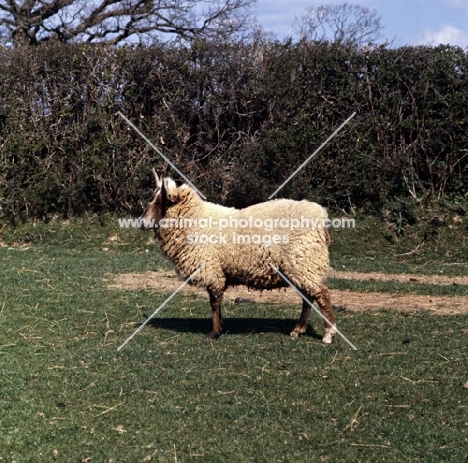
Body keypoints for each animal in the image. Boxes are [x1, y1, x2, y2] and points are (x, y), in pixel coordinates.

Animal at [139, 171, 336, 344]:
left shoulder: (212, 270)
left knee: (322, 294)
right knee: (308, 298)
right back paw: (298, 329)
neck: (194, 220)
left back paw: (329, 333)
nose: (141, 222)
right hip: (301, 266)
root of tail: (320, 215)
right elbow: (216, 302)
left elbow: (214, 302)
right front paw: (220, 328)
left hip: (305, 261)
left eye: (160, 201)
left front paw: (214, 333)